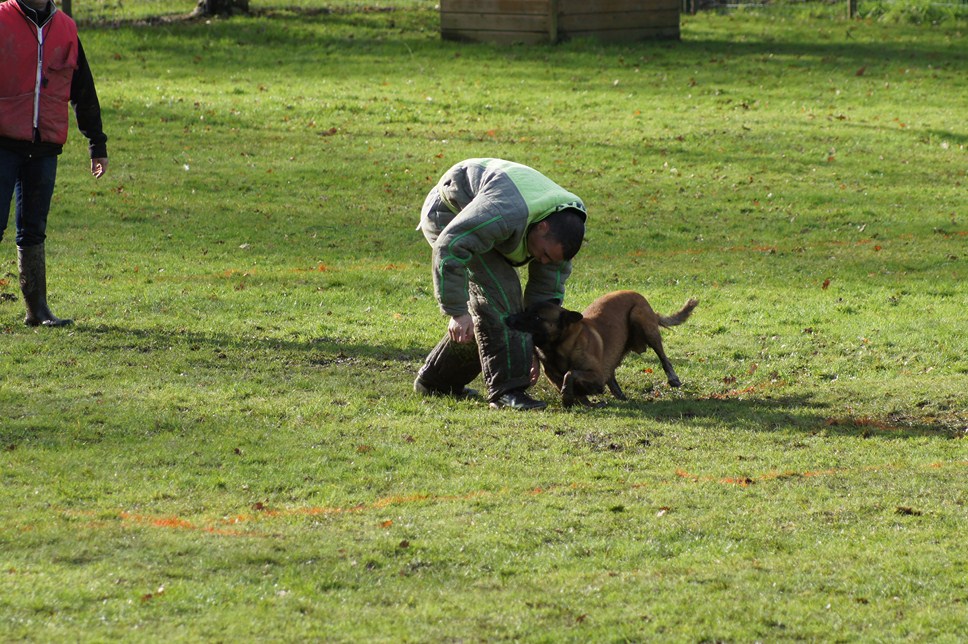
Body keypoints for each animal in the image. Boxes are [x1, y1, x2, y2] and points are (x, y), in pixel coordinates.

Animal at [506, 292, 696, 408]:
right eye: (525, 310)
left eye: (537, 317)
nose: (509, 318)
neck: (559, 346)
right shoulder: (554, 377)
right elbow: (572, 386)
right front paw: (578, 399)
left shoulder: (596, 375)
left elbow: (571, 373)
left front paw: (570, 396)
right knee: (611, 374)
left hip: (642, 321)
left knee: (663, 357)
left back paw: (673, 378)